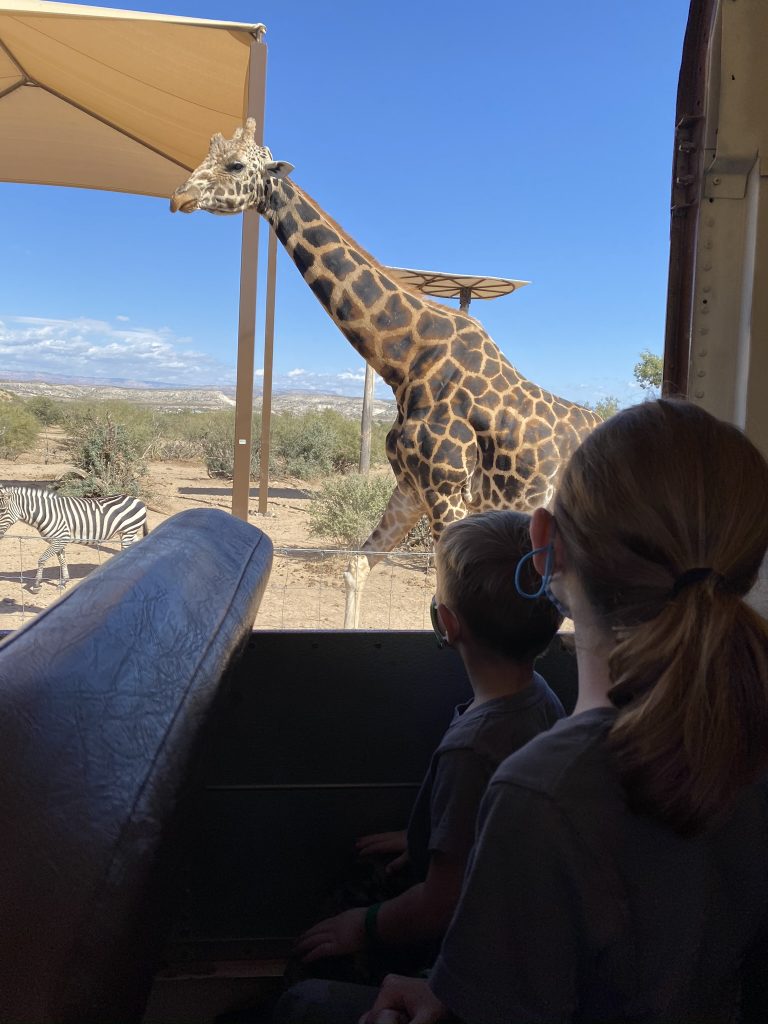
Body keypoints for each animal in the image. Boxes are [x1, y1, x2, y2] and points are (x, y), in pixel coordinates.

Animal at [0, 485, 148, 593]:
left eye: (2, 511)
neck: (47, 513)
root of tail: (137, 500)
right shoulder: (58, 540)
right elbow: (62, 560)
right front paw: (64, 581)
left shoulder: (60, 539)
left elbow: (42, 559)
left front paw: (36, 585)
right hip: (128, 532)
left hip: (128, 532)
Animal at [171, 117, 606, 622]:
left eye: (236, 165)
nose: (179, 197)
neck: (404, 365)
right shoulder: (410, 489)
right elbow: (355, 567)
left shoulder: (448, 492)